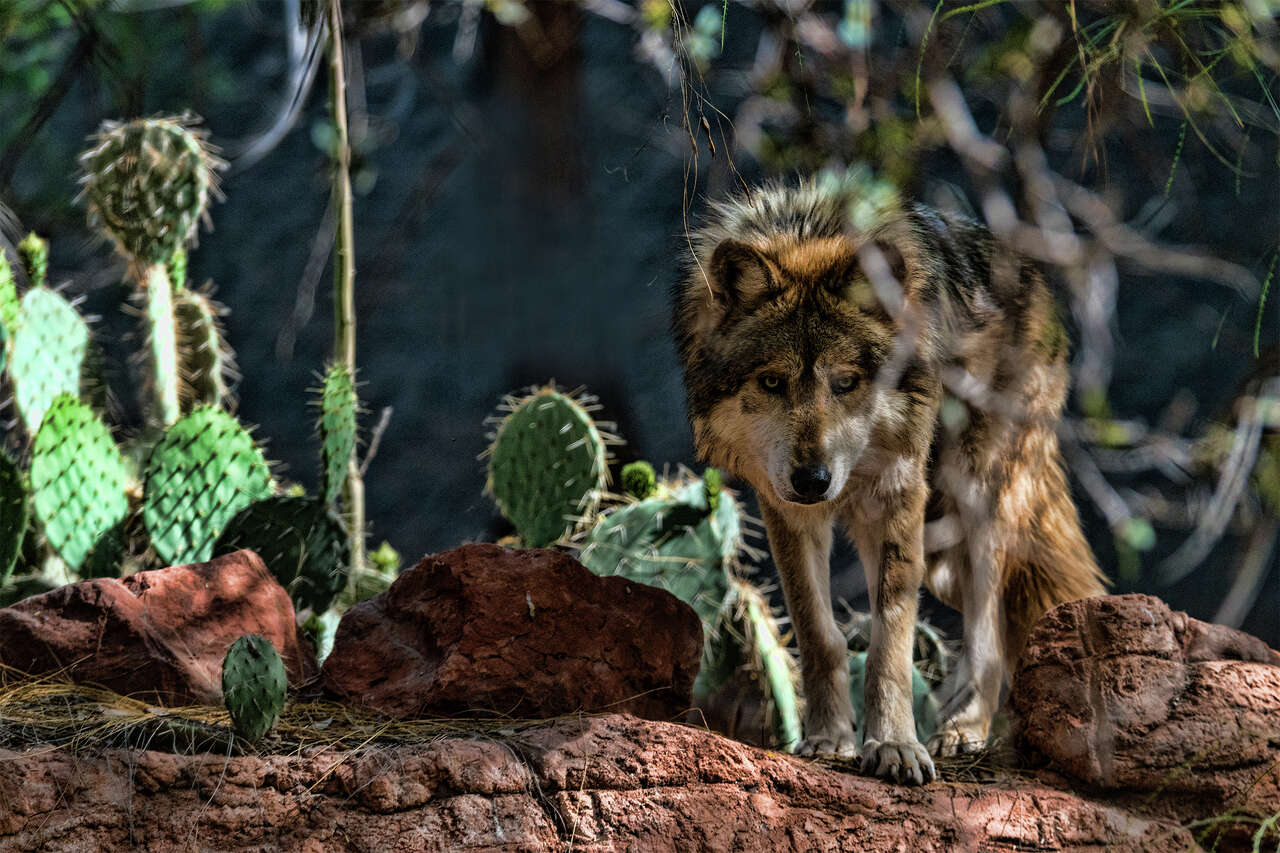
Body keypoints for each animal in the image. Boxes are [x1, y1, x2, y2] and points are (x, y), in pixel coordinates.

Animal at [672, 180, 1106, 785]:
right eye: (773, 382)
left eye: (846, 382)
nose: (814, 479)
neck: (810, 231)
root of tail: (1036, 282)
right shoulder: (786, 510)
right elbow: (820, 634)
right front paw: (830, 737)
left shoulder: (898, 495)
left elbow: (890, 641)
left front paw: (895, 745)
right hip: (938, 547)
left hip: (974, 503)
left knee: (989, 628)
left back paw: (963, 729)